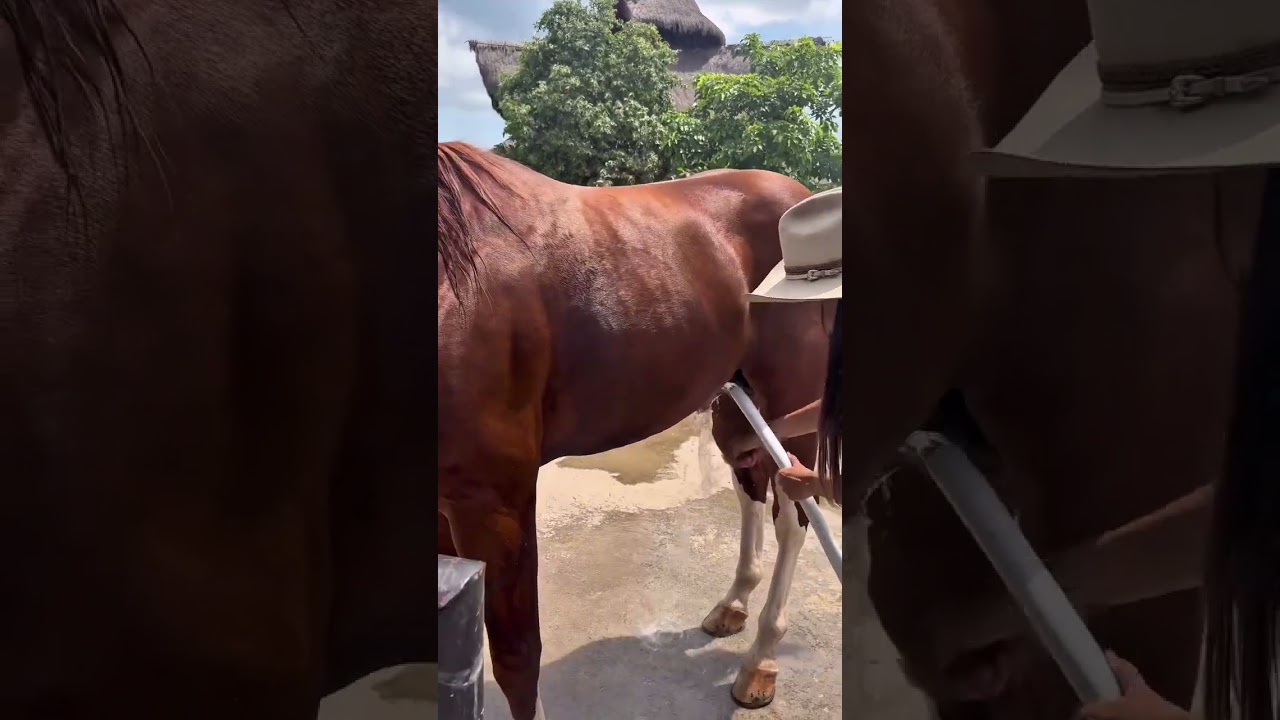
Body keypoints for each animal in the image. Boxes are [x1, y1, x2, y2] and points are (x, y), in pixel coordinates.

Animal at [436, 141, 836, 719]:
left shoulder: (494, 502)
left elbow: (517, 657)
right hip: (735, 405)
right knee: (750, 486)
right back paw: (733, 605)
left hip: (791, 400)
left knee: (793, 518)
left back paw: (761, 661)